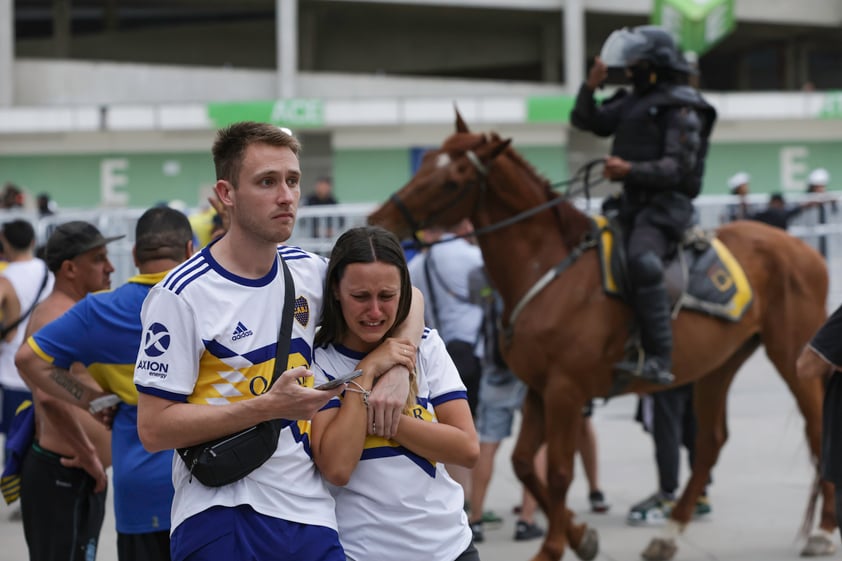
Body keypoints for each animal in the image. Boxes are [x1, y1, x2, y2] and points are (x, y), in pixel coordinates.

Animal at [370, 114, 832, 560]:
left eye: (453, 179)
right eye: (426, 163)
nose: (380, 221)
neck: (549, 270)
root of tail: (803, 249)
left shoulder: (565, 391)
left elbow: (558, 472)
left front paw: (554, 547)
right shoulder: (539, 389)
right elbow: (523, 463)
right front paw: (580, 536)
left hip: (794, 358)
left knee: (816, 431)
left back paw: (824, 531)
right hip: (720, 364)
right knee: (709, 443)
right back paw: (668, 536)